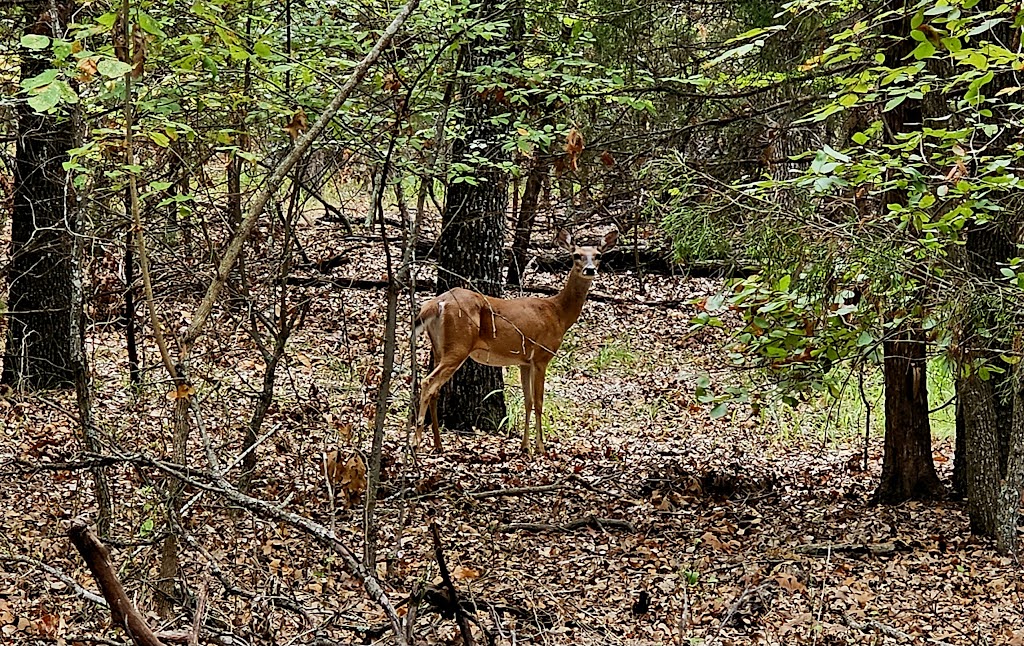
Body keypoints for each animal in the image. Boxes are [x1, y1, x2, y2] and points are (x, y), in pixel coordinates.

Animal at [413, 228, 618, 454]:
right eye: (576, 256)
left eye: (598, 255)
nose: (590, 270)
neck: (558, 314)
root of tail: (435, 304)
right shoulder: (541, 356)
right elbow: (539, 401)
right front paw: (540, 447)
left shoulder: (524, 362)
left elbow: (527, 401)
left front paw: (524, 446)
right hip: (459, 345)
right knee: (428, 381)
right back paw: (416, 442)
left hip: (439, 347)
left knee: (435, 389)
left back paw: (438, 444)